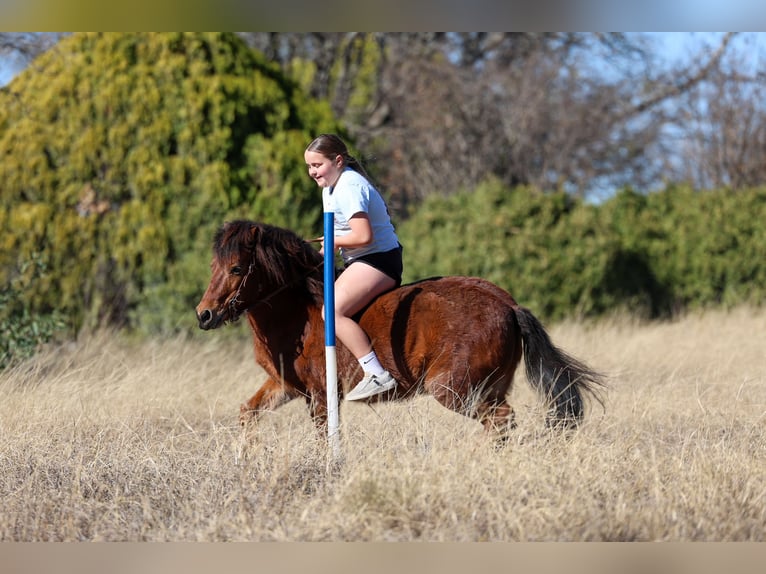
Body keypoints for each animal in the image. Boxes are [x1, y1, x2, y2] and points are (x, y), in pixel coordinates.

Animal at [195, 219, 605, 440]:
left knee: (501, 420)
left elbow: (324, 437)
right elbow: (247, 413)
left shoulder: (321, 396)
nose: (205, 315)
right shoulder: (285, 386)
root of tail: (508, 304)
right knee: (501, 422)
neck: (299, 310)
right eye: (213, 266)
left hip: (455, 389)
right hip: (488, 386)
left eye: (236, 268)